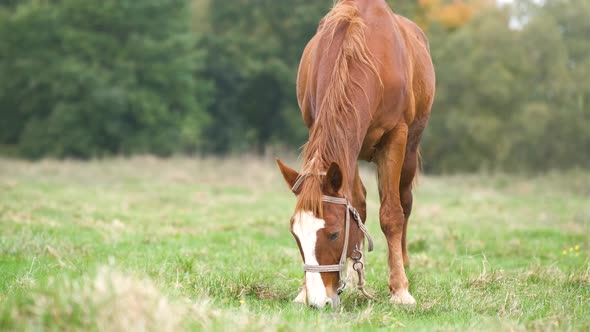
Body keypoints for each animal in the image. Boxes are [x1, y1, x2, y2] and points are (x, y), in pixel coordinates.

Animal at [276, 0, 434, 308]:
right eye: (295, 233)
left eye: (335, 233)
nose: (318, 300)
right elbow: (356, 207)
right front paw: (304, 290)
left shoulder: (396, 136)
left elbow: (391, 214)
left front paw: (400, 289)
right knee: (359, 202)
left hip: (410, 148)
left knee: (405, 200)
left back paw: (404, 263)